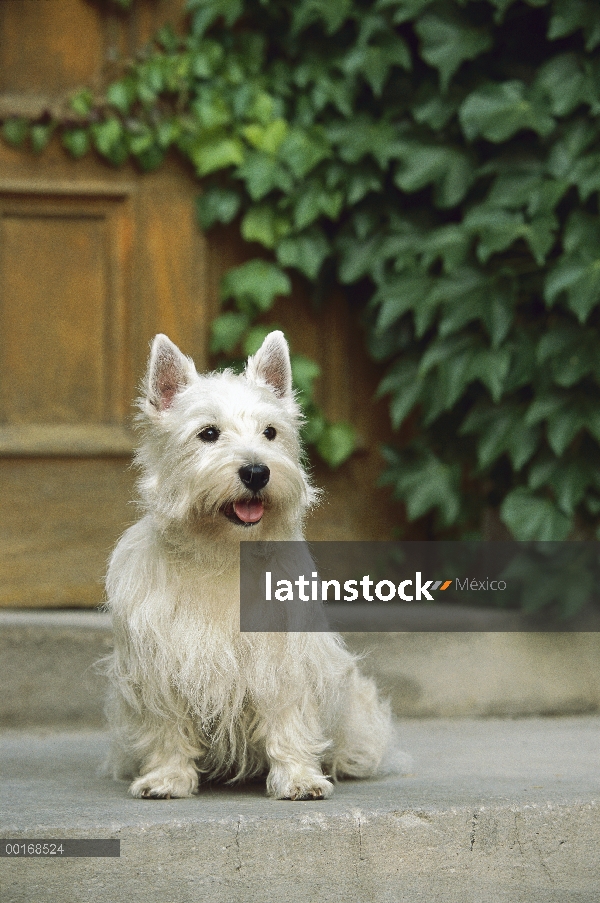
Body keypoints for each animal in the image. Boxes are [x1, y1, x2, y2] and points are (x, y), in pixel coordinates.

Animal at [105, 330, 392, 800]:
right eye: (208, 433)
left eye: (270, 432)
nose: (257, 472)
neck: (222, 553)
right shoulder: (158, 669)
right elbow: (167, 727)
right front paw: (166, 778)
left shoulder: (282, 660)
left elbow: (288, 720)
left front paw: (299, 779)